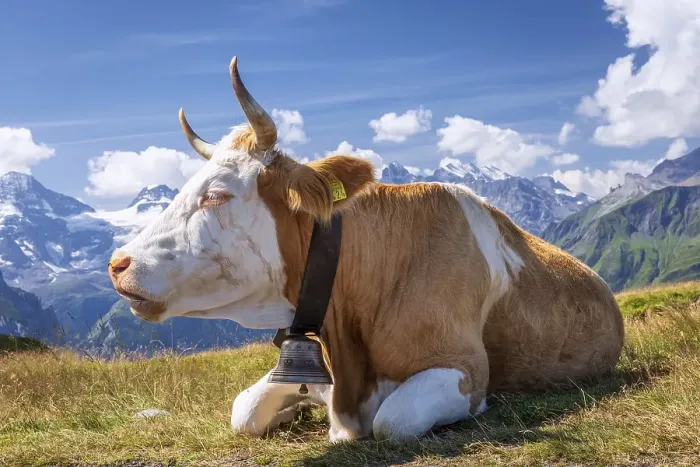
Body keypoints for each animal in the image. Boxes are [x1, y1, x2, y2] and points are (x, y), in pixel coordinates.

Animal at [108, 56, 625, 443]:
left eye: (217, 194)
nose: (117, 264)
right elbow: (244, 410)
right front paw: (292, 412)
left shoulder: (465, 369)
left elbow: (394, 421)